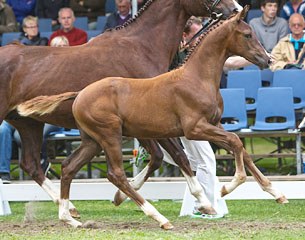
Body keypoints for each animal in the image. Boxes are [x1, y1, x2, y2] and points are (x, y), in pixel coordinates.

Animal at [19, 7, 288, 229]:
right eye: (247, 35)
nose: (267, 59)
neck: (196, 77)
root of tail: (80, 94)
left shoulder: (213, 124)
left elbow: (241, 149)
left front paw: (276, 193)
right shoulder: (194, 129)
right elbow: (234, 142)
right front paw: (225, 188)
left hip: (92, 141)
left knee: (68, 167)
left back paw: (70, 218)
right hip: (110, 136)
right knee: (116, 174)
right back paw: (159, 218)